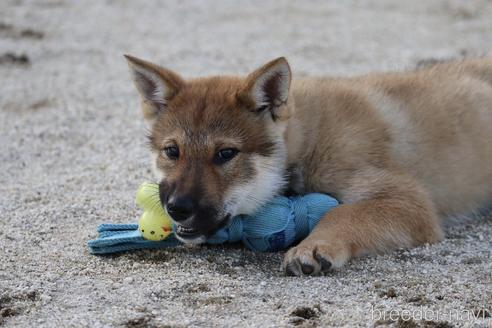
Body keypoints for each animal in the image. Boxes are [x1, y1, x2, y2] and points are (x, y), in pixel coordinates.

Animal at [125, 55, 492, 276]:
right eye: (172, 151)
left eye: (226, 154)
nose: (177, 208)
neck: (307, 141)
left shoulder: (409, 201)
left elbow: (343, 213)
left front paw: (315, 246)